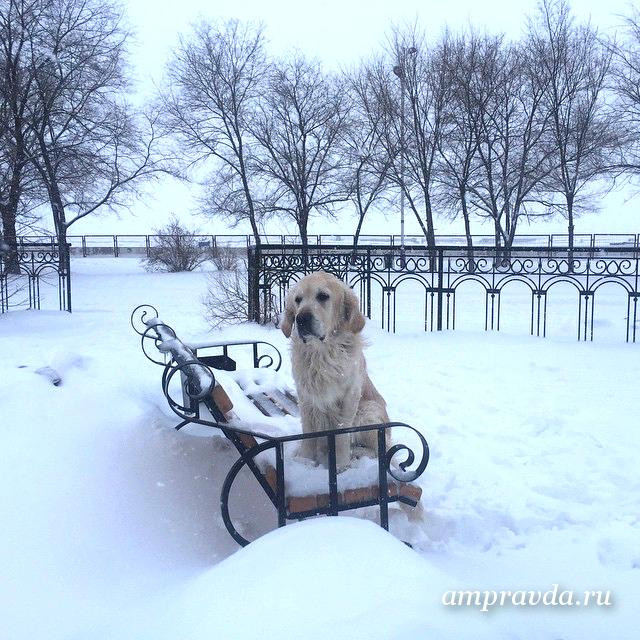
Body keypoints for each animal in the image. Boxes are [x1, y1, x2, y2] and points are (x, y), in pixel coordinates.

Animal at [280, 271, 390, 470]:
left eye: (323, 296)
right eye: (298, 299)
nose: (301, 319)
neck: (322, 354)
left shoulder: (349, 396)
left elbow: (341, 433)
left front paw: (340, 464)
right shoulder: (305, 395)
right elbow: (308, 430)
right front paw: (304, 461)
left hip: (368, 411)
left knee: (380, 450)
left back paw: (357, 453)